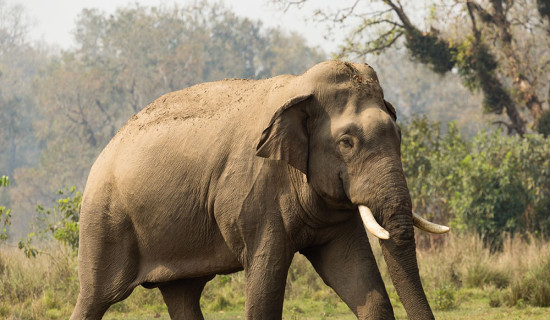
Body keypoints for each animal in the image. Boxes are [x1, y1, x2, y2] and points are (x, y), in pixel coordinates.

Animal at [70, 60, 448, 320]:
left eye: (398, 135)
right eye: (347, 143)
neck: (300, 87)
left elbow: (362, 284)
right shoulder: (254, 197)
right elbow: (265, 285)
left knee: (182, 294)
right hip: (104, 221)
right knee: (95, 298)